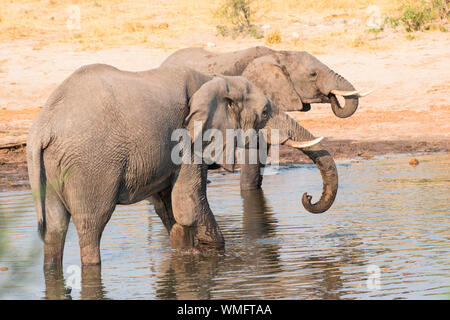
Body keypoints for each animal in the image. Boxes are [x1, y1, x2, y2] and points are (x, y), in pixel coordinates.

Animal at [27, 63, 338, 268]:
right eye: (264, 113)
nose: (307, 196)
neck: (215, 80)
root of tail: (43, 127)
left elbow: (170, 206)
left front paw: (185, 253)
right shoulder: (189, 137)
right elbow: (188, 201)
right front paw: (212, 252)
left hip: (51, 168)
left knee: (54, 230)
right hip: (91, 165)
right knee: (92, 226)